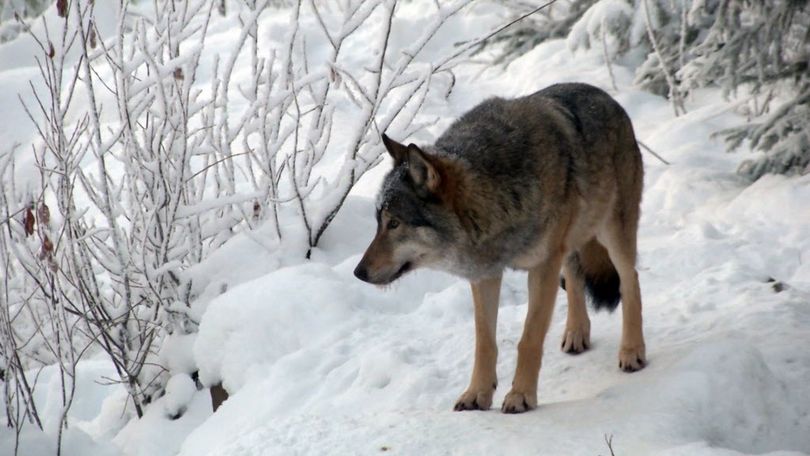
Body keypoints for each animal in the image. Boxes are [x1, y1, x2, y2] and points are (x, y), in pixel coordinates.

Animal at [354, 82, 644, 414]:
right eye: (378, 222)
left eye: (394, 224)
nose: (358, 272)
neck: (496, 198)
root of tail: (606, 96)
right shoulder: (485, 276)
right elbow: (484, 342)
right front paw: (477, 394)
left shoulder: (542, 267)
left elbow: (528, 338)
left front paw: (520, 396)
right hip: (571, 243)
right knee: (574, 277)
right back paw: (576, 334)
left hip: (612, 233)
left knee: (630, 280)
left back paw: (632, 351)